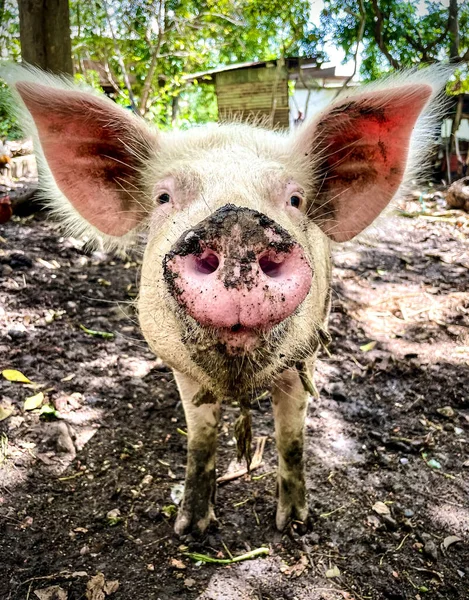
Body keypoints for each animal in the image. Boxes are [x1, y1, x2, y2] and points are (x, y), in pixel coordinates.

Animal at [2, 64, 450, 536]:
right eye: (163, 197)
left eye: (295, 199)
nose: (237, 224)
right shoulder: (182, 368)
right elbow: (200, 437)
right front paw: (191, 529)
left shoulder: (304, 357)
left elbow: (292, 436)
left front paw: (293, 524)